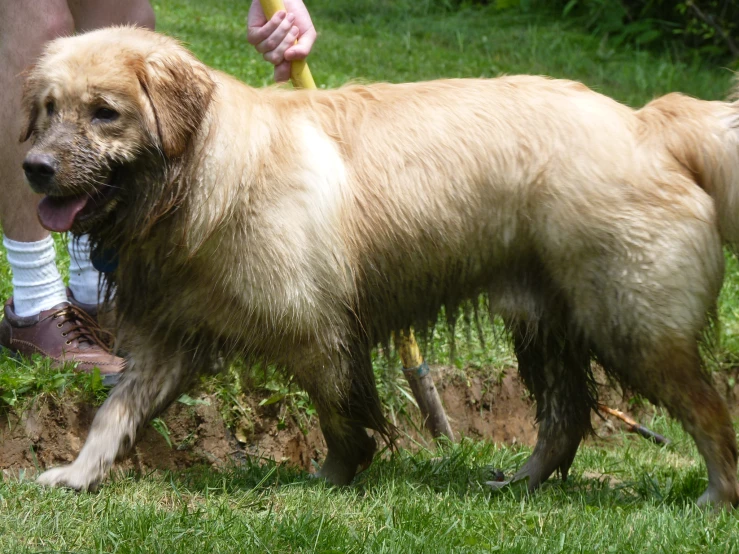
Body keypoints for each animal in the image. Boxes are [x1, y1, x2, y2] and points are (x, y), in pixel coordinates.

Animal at [20, 28, 739, 506]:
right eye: (48, 109)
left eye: (105, 113)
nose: (33, 168)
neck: (198, 178)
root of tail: (648, 122)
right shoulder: (169, 335)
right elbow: (114, 413)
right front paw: (79, 473)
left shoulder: (315, 329)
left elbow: (338, 413)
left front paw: (334, 476)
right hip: (547, 319)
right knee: (564, 418)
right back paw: (519, 483)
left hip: (629, 321)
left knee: (709, 411)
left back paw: (715, 498)